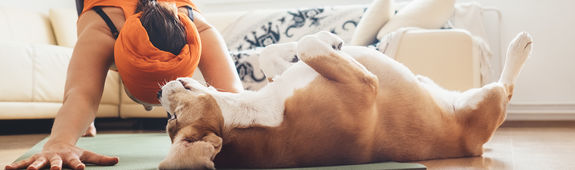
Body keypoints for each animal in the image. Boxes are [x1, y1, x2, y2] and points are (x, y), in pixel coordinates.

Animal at [159, 31, 536, 169]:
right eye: (172, 120)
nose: (159, 93)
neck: (256, 114)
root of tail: (476, 147)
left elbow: (273, 52)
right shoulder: (365, 86)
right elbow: (306, 46)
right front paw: (328, 37)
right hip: (487, 101)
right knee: (506, 89)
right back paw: (519, 47)